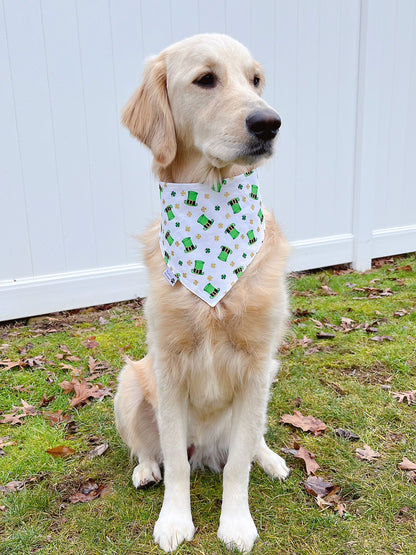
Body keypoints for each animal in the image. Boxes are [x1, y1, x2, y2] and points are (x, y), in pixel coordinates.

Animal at [113, 33, 290, 552]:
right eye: (205, 79)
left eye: (256, 80)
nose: (269, 123)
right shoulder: (168, 365)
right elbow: (175, 463)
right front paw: (174, 520)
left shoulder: (256, 363)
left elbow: (237, 467)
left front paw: (236, 523)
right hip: (129, 384)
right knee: (148, 450)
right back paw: (145, 470)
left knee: (248, 444)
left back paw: (270, 458)